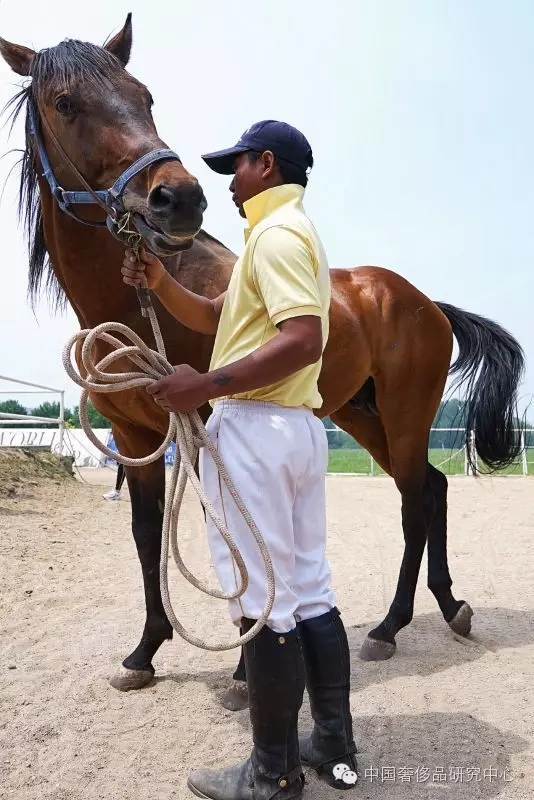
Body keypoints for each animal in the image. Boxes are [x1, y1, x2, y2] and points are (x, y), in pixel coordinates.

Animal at [0, 15, 524, 711]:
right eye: (65, 103)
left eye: (145, 97)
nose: (177, 198)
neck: (137, 302)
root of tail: (422, 302)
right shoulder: (136, 439)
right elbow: (146, 538)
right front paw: (144, 652)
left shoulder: (202, 433)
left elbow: (233, 540)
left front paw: (245, 672)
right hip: (364, 419)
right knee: (431, 491)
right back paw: (442, 609)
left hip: (408, 417)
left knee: (417, 500)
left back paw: (390, 626)